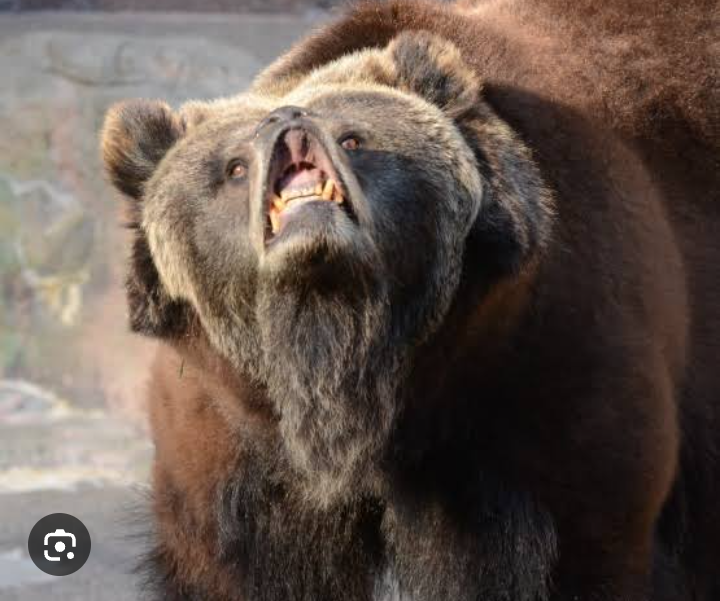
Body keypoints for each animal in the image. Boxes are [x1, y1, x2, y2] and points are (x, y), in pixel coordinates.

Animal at [100, 0, 719, 599]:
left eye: (354, 137)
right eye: (232, 166)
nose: (288, 117)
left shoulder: (548, 369)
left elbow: (578, 548)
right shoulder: (229, 431)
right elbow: (233, 563)